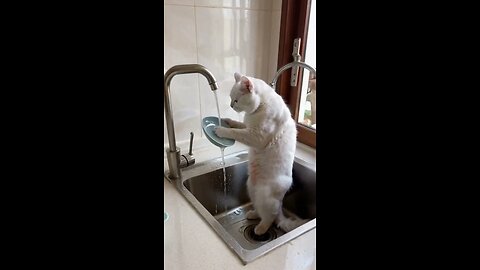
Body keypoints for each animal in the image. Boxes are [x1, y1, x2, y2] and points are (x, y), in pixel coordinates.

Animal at [216, 71, 306, 234]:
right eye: (231, 99)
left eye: (236, 100)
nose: (231, 105)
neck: (258, 108)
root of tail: (280, 204)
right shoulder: (248, 127)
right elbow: (238, 125)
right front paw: (227, 121)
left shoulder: (256, 137)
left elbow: (236, 132)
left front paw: (221, 130)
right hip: (251, 187)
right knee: (261, 210)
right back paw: (252, 214)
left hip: (264, 196)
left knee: (270, 217)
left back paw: (260, 229)